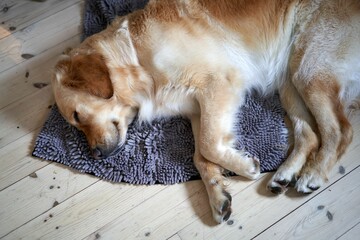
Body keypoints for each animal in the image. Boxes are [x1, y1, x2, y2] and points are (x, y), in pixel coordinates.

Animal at [51, 0, 360, 223]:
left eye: (77, 116)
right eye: (75, 124)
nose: (95, 155)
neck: (137, 58)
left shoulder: (218, 82)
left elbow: (210, 144)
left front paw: (245, 167)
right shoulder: (197, 109)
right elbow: (200, 156)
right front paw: (217, 193)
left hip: (308, 68)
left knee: (340, 130)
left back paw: (313, 174)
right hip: (289, 79)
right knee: (310, 135)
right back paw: (284, 174)